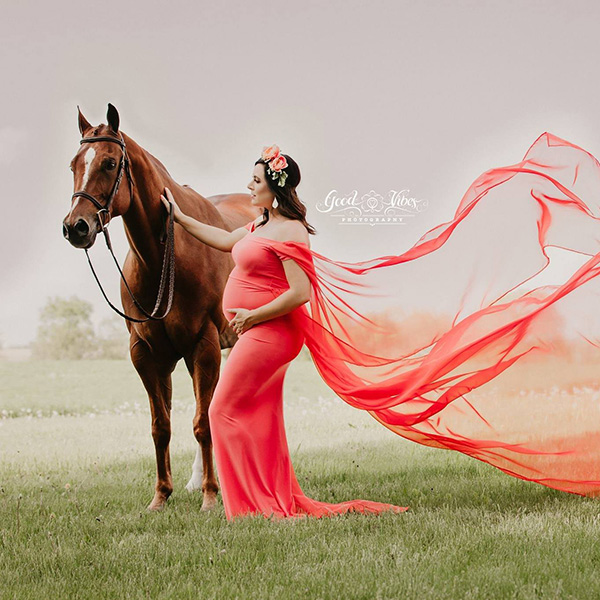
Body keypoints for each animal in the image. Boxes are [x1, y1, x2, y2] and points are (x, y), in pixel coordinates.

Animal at [63, 104, 258, 510]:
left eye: (109, 163)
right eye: (73, 164)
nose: (76, 227)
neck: (170, 255)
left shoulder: (203, 345)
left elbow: (202, 422)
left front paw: (211, 496)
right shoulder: (148, 353)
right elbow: (161, 424)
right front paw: (162, 495)